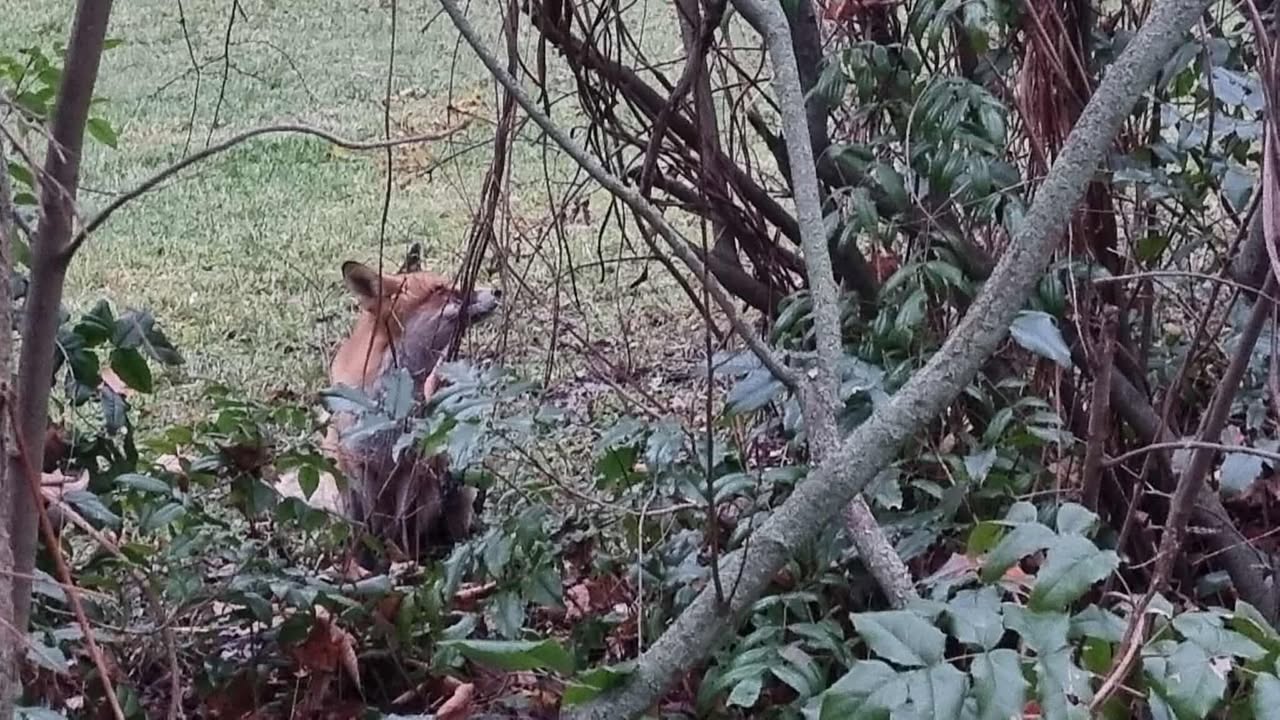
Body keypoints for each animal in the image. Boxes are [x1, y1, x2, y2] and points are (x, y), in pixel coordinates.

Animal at [326, 254, 501, 560]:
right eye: (441, 290)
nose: (498, 291)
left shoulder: (412, 466)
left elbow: (405, 529)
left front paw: (407, 564)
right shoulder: (357, 467)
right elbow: (363, 531)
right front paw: (362, 566)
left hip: (454, 483)